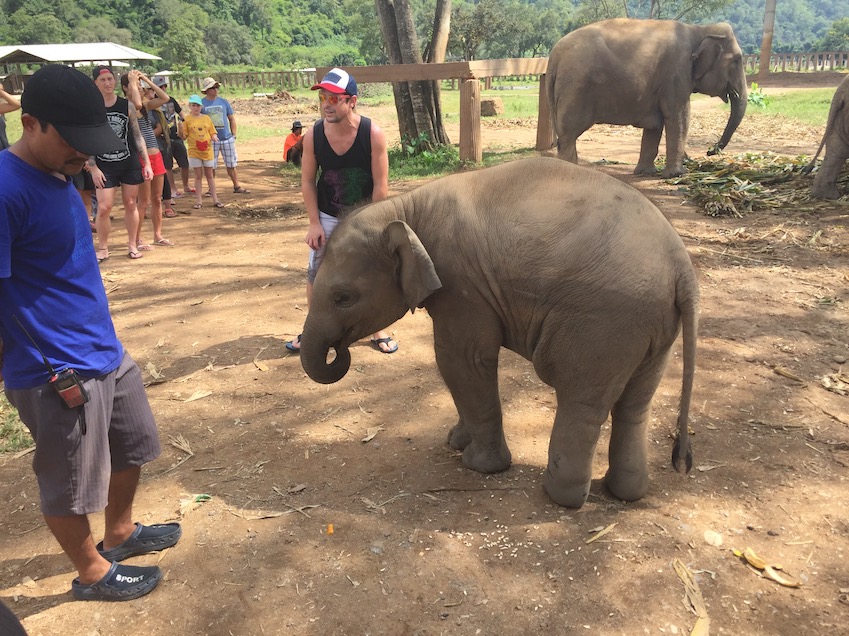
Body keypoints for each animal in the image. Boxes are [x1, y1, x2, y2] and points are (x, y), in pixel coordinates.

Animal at [548, 19, 744, 178]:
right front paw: (678, 174)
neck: (699, 29)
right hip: (575, 88)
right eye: (737, 60)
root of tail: (554, 56)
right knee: (568, 134)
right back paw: (570, 170)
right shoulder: (677, 73)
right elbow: (679, 116)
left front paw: (645, 172)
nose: (709, 151)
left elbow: (654, 125)